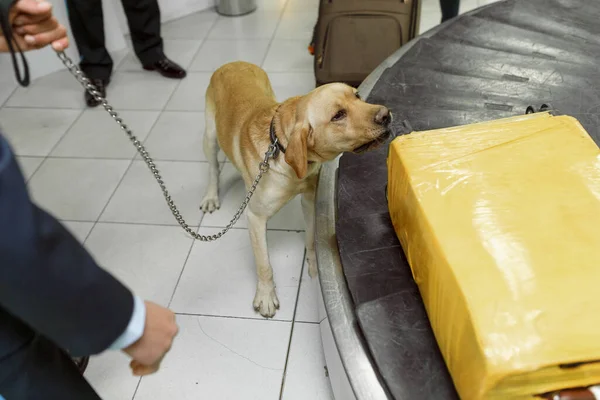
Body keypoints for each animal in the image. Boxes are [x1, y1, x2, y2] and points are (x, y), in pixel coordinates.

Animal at [199, 61, 392, 318]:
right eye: (338, 115)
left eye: (357, 95)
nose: (386, 114)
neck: (279, 148)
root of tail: (233, 63)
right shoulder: (255, 217)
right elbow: (264, 264)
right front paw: (266, 295)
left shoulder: (310, 199)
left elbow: (311, 237)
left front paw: (313, 265)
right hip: (210, 136)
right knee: (213, 168)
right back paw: (211, 195)